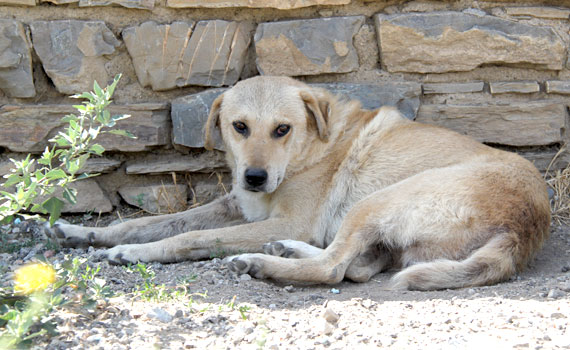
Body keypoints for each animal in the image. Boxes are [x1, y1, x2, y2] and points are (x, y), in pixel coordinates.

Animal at [45, 76, 552, 290]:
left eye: (282, 129)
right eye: (239, 127)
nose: (254, 177)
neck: (307, 150)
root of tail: (525, 226)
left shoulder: (282, 218)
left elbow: (188, 238)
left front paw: (132, 253)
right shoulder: (238, 205)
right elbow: (153, 223)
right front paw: (84, 233)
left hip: (377, 200)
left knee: (333, 268)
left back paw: (262, 262)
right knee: (356, 265)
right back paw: (284, 252)